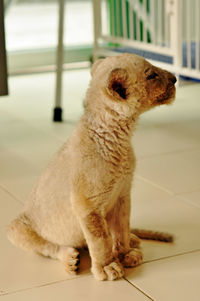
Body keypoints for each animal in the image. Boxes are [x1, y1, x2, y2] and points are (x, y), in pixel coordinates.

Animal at [7, 53, 177, 278]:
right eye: (152, 75)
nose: (175, 78)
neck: (121, 140)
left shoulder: (122, 195)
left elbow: (122, 228)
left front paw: (125, 253)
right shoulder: (87, 205)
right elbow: (99, 240)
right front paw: (108, 267)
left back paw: (134, 240)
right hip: (16, 228)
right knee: (50, 248)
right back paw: (70, 260)